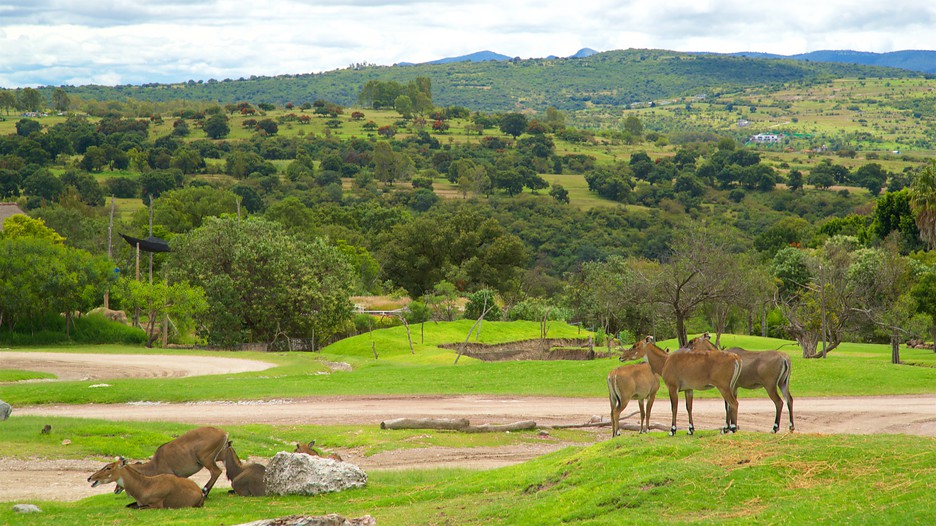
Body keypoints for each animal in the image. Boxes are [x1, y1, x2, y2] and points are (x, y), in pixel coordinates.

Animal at [616, 338, 744, 438]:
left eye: (635, 345)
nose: (621, 357)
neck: (665, 361)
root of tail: (736, 358)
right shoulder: (688, 389)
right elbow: (689, 407)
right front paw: (690, 430)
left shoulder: (673, 387)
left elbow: (674, 408)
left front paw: (672, 430)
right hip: (732, 387)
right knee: (731, 404)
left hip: (723, 387)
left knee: (734, 403)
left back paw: (732, 429)